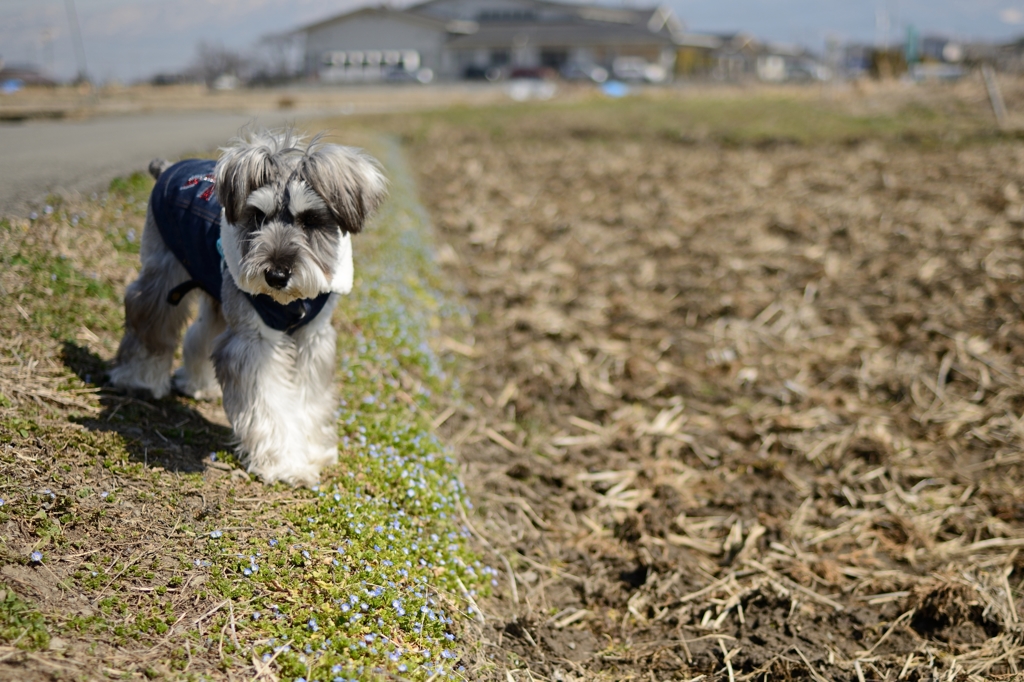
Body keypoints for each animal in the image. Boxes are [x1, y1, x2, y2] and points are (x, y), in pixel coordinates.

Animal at [108, 129, 387, 483]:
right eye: (258, 216)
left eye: (311, 220)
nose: (276, 275)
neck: (292, 303)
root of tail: (168, 167)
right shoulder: (255, 342)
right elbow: (271, 404)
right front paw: (287, 463)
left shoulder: (313, 339)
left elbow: (309, 401)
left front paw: (312, 452)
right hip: (164, 273)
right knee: (147, 315)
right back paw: (139, 379)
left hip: (216, 288)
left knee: (201, 334)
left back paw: (197, 384)